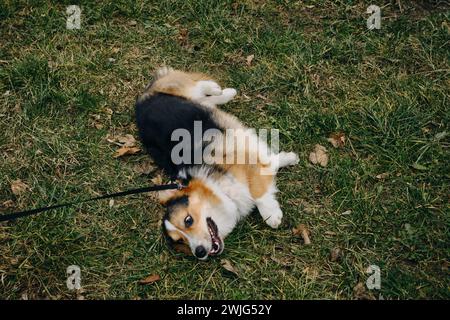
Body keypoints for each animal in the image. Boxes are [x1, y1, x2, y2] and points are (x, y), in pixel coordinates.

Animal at [137, 67, 298, 260]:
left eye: (188, 220)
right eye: (180, 241)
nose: (199, 252)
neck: (219, 189)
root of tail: (141, 101)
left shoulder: (244, 161)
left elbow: (259, 193)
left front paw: (271, 216)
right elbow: (269, 164)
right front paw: (288, 158)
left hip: (178, 88)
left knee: (192, 84)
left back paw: (216, 88)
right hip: (194, 99)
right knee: (206, 100)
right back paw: (226, 93)